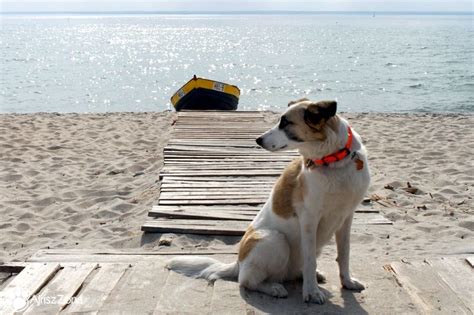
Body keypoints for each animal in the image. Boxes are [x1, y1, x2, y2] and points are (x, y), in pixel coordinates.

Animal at [167, 99, 370, 306]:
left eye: (286, 123)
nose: (258, 140)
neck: (334, 161)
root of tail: (238, 263)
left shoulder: (346, 217)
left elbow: (344, 254)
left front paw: (347, 282)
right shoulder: (309, 220)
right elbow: (310, 260)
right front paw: (311, 292)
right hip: (274, 239)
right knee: (247, 281)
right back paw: (274, 288)